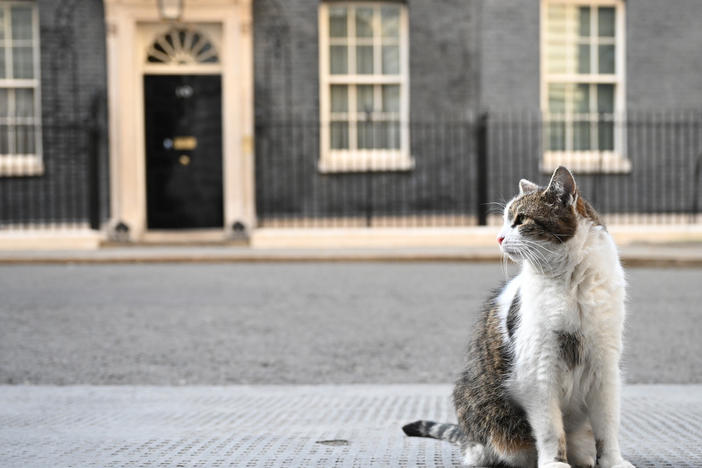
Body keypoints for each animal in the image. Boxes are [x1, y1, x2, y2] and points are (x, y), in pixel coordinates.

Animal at [404, 167, 636, 468]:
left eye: (521, 219)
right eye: (504, 221)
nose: (499, 238)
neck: (571, 283)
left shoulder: (605, 367)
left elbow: (607, 427)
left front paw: (612, 461)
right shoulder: (539, 370)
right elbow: (551, 430)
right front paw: (555, 463)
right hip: (479, 409)